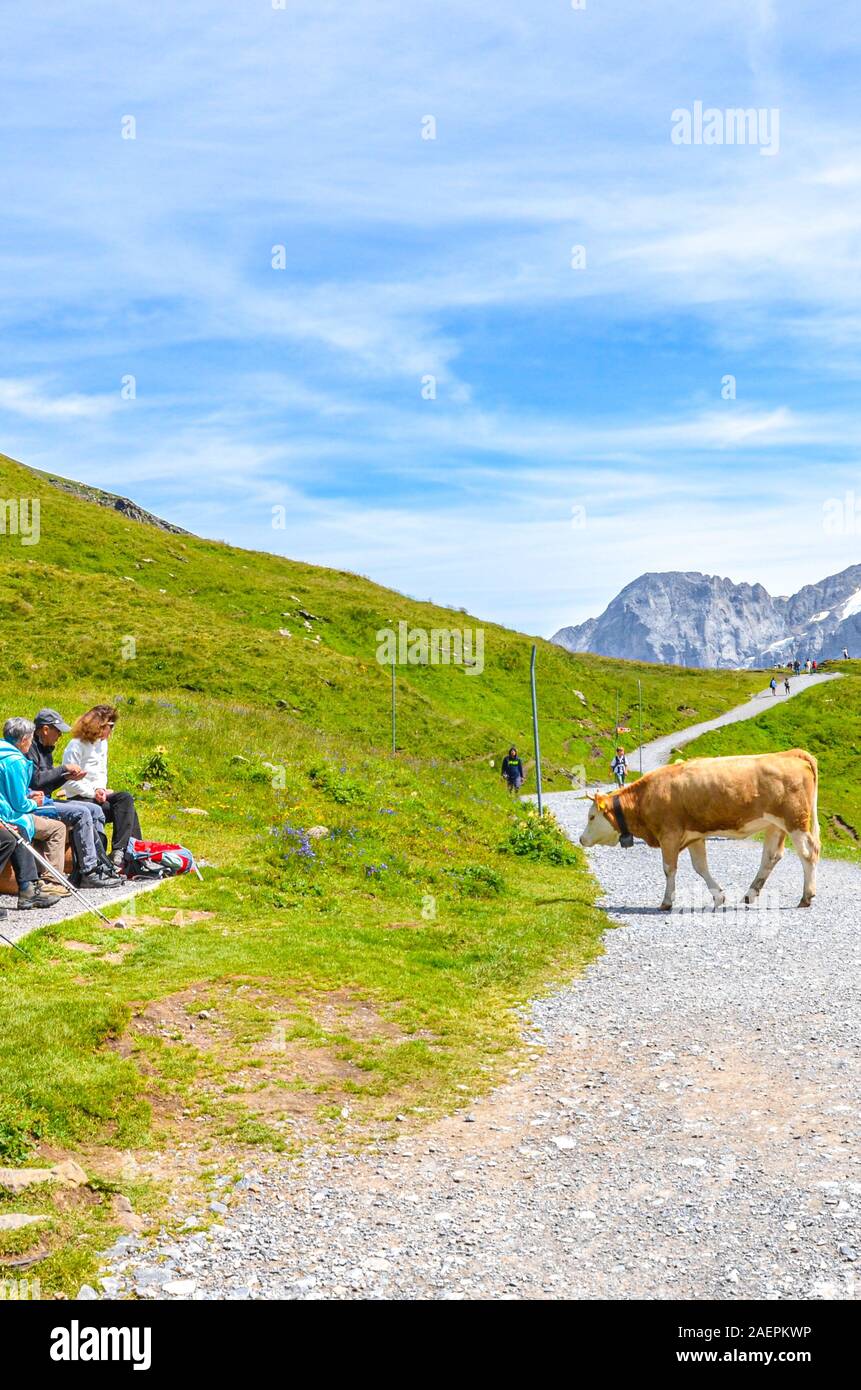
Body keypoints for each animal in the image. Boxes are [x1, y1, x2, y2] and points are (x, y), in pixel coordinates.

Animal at [579, 749, 820, 911]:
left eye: (591, 816)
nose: (581, 839)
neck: (645, 797)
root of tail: (791, 753)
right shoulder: (694, 836)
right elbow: (700, 867)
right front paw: (719, 897)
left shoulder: (669, 834)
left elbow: (669, 868)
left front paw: (666, 902)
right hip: (775, 825)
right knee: (771, 857)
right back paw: (750, 894)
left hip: (795, 821)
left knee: (808, 854)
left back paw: (806, 897)